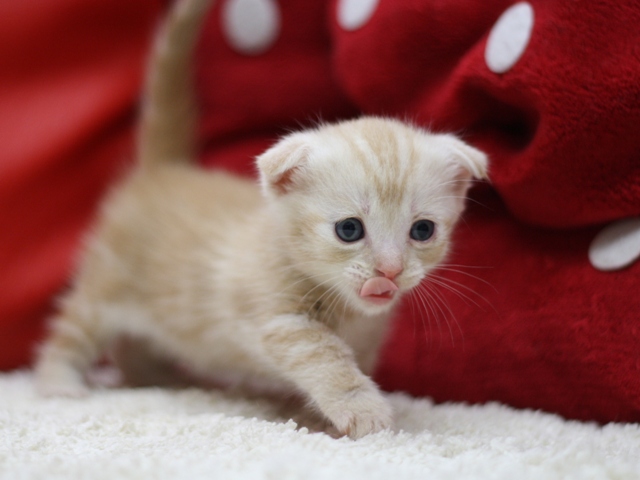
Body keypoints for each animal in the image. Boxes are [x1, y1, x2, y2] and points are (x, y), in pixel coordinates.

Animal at [33, 0, 484, 438]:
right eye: (349, 229)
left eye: (422, 230)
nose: (389, 271)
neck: (350, 312)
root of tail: (161, 170)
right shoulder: (281, 322)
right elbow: (328, 359)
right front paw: (363, 411)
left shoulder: (368, 339)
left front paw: (320, 419)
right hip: (104, 285)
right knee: (73, 330)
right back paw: (59, 384)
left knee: (136, 346)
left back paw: (161, 378)